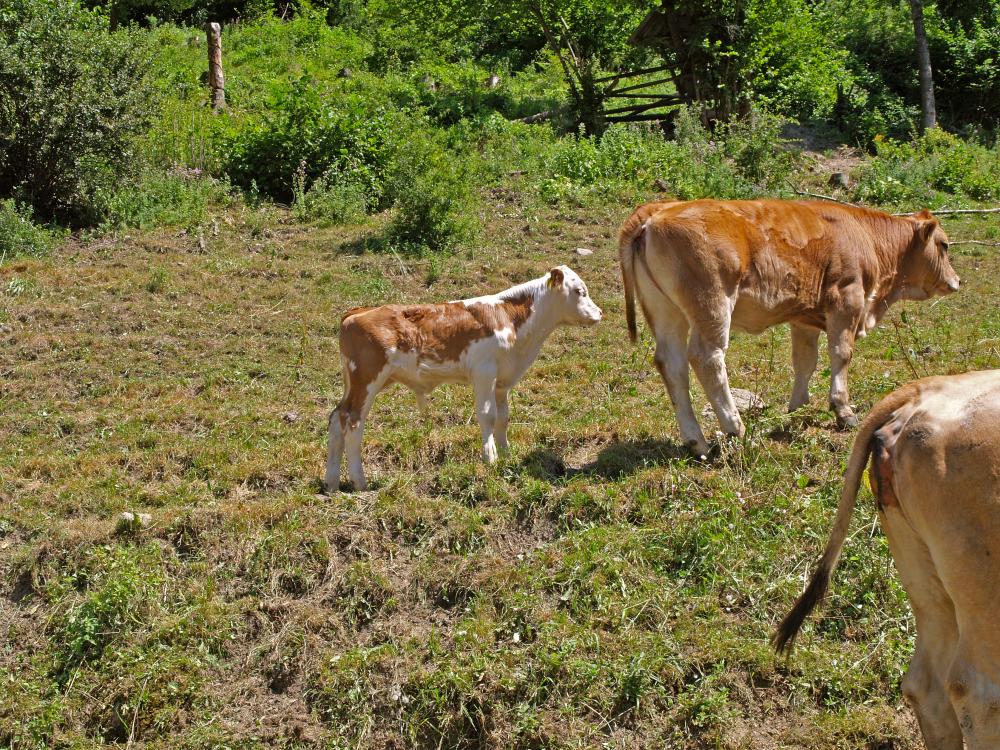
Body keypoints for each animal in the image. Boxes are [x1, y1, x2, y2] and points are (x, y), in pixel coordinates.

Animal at [326, 266, 600, 494]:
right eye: (580, 291)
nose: (600, 313)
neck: (510, 320)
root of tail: (358, 312)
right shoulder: (484, 372)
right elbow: (488, 416)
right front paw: (490, 458)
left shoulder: (502, 381)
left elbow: (503, 418)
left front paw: (506, 453)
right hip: (367, 379)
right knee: (353, 421)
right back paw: (359, 481)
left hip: (357, 383)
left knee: (336, 418)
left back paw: (331, 482)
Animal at [616, 200, 960, 456]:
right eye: (944, 245)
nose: (956, 281)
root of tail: (658, 211)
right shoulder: (846, 299)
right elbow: (841, 354)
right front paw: (843, 410)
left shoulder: (803, 318)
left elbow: (805, 362)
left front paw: (797, 407)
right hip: (711, 305)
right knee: (706, 359)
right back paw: (736, 429)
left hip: (667, 313)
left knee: (672, 365)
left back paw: (696, 442)